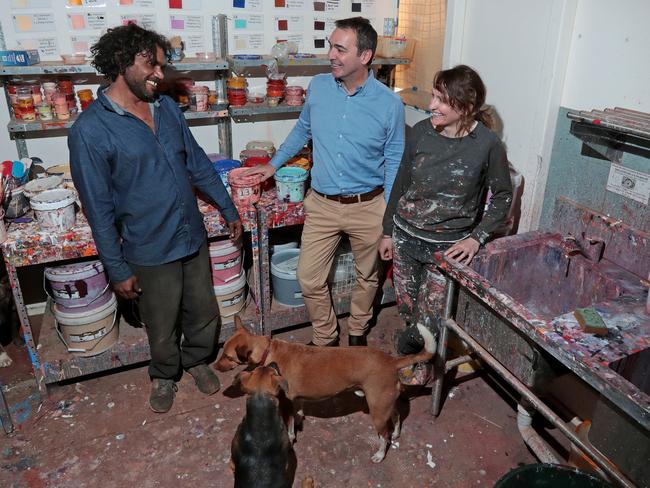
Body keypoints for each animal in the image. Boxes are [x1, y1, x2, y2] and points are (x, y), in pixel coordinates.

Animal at [215, 316, 432, 462]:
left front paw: (292, 437)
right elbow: (298, 412)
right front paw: (300, 420)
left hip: (377, 412)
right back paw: (396, 434)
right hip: (384, 404)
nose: (215, 366)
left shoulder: (286, 403)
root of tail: (392, 361)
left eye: (227, 356)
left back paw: (380, 454)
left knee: (383, 436)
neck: (268, 350)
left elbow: (290, 427)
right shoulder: (295, 400)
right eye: (222, 352)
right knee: (396, 417)